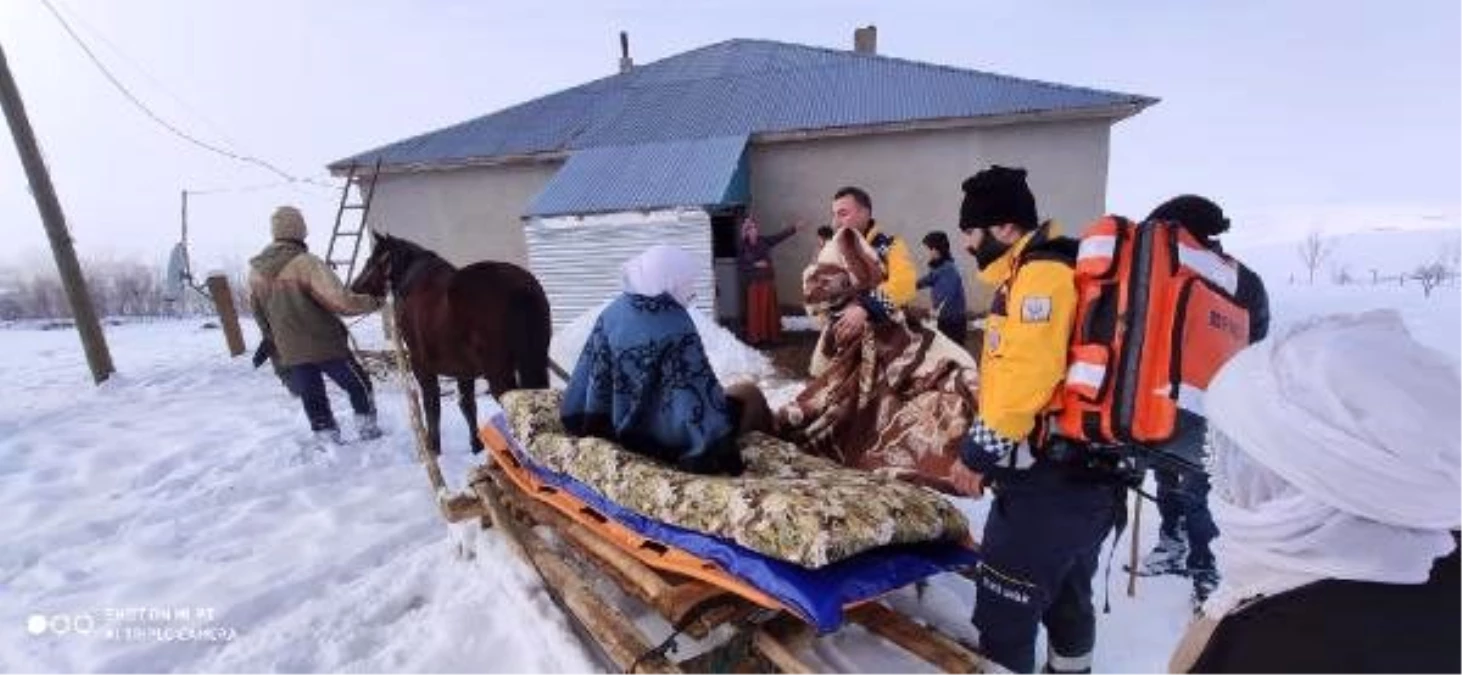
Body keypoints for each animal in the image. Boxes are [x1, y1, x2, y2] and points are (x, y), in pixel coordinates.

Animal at [353, 232, 552, 452]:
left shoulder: (421, 366)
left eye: (370, 260)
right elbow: (467, 405)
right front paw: (476, 445)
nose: (355, 286)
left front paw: (433, 446)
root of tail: (519, 289)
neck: (414, 282)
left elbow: (432, 405)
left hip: (498, 372)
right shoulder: (463, 370)